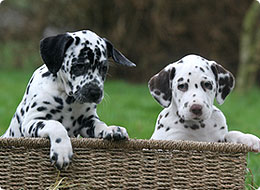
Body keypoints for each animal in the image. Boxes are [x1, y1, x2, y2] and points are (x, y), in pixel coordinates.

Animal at [2, 29, 136, 169]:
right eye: (79, 65)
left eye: (104, 68)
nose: (95, 92)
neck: (68, 100)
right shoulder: (31, 122)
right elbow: (56, 124)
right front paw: (62, 151)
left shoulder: (87, 121)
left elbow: (99, 123)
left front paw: (111, 129)